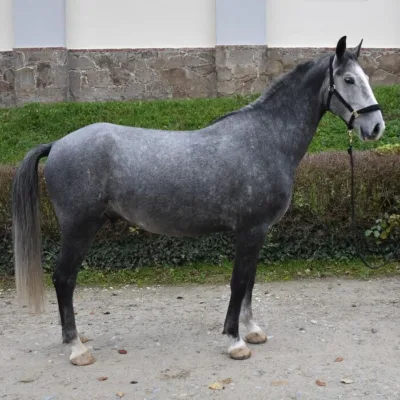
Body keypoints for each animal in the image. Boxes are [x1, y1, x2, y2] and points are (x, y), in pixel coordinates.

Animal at [13, 36, 384, 366]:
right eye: (348, 79)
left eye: (366, 77)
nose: (376, 126)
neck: (265, 138)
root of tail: (58, 144)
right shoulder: (250, 230)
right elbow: (238, 283)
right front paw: (235, 341)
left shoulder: (258, 232)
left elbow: (250, 282)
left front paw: (252, 331)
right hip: (79, 229)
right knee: (64, 279)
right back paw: (77, 348)